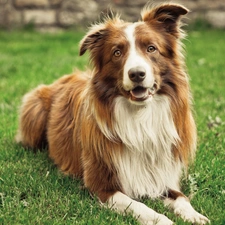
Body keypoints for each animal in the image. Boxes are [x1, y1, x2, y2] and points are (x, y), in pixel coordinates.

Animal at [15, 3, 209, 225]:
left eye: (151, 48)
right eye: (117, 53)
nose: (136, 74)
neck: (140, 117)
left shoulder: (164, 176)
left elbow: (181, 198)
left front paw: (193, 215)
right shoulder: (102, 185)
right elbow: (139, 206)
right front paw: (162, 220)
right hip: (35, 110)